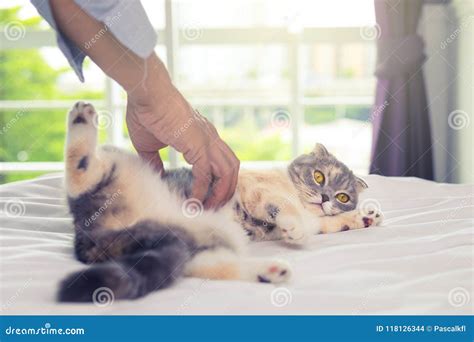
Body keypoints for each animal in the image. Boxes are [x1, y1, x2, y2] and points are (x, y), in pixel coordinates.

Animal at [59, 101, 384, 302]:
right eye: (319, 176)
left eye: (343, 196)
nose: (326, 197)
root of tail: (90, 240)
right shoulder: (260, 192)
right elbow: (285, 207)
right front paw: (296, 229)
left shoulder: (319, 221)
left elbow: (334, 222)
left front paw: (366, 216)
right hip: (117, 166)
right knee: (80, 173)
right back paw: (81, 117)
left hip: (203, 249)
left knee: (221, 270)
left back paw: (271, 272)